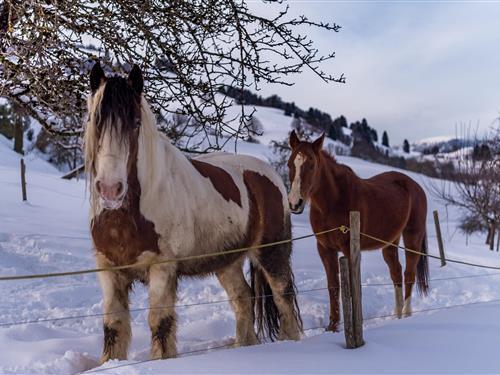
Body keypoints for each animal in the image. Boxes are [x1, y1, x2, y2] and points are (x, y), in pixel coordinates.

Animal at [83, 62, 300, 364]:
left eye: (135, 123)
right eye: (95, 119)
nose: (110, 189)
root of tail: (272, 176)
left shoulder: (162, 268)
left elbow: (160, 323)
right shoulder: (109, 269)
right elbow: (113, 326)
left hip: (272, 253)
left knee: (283, 297)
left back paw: (289, 343)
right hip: (227, 262)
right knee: (243, 298)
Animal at [288, 131, 428, 332]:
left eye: (312, 165)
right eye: (290, 163)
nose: (295, 203)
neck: (333, 201)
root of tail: (414, 186)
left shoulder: (349, 248)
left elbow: (354, 286)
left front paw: (355, 323)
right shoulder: (325, 249)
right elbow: (333, 286)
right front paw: (332, 327)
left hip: (412, 237)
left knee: (409, 274)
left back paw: (407, 315)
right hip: (389, 243)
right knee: (396, 272)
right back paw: (398, 315)